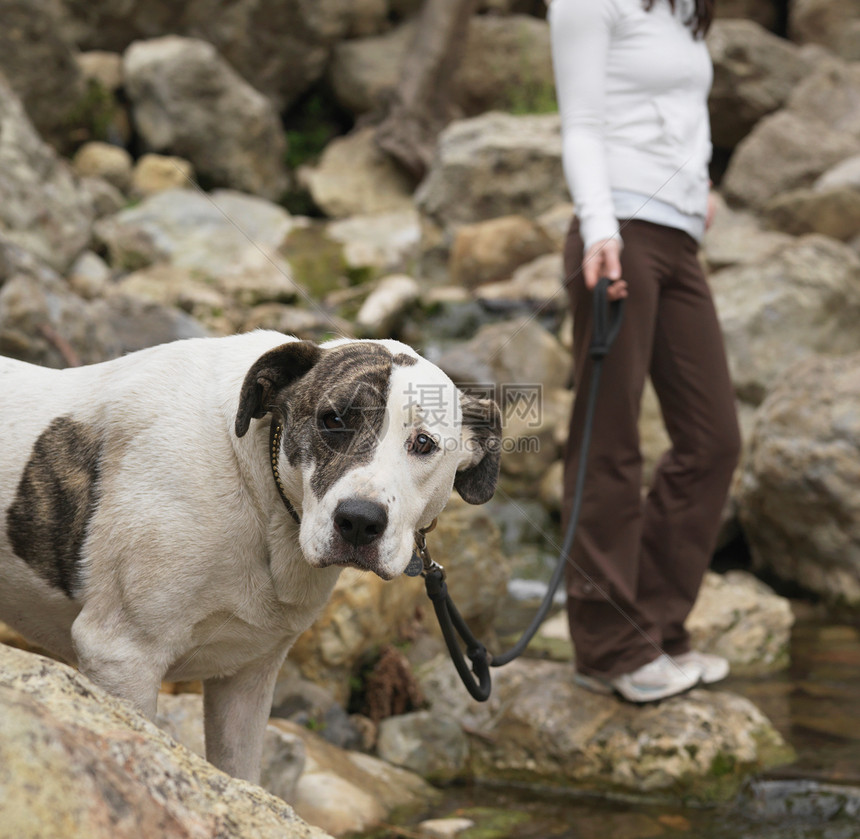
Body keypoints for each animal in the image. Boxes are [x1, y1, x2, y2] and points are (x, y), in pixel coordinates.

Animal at [0, 332, 500, 784]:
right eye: (333, 419)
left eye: (423, 444)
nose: (359, 521)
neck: (262, 498)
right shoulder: (121, 657)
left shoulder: (246, 681)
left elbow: (241, 774)